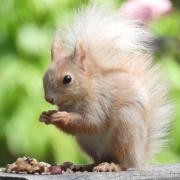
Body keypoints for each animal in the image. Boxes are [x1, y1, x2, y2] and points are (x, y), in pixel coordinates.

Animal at [39, 5, 172, 172]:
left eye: (67, 79)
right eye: (44, 76)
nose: (48, 98)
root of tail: (139, 157)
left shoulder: (99, 103)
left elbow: (92, 122)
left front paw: (62, 116)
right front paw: (45, 115)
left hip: (125, 129)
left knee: (124, 162)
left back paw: (112, 166)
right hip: (87, 143)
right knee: (98, 159)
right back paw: (86, 165)